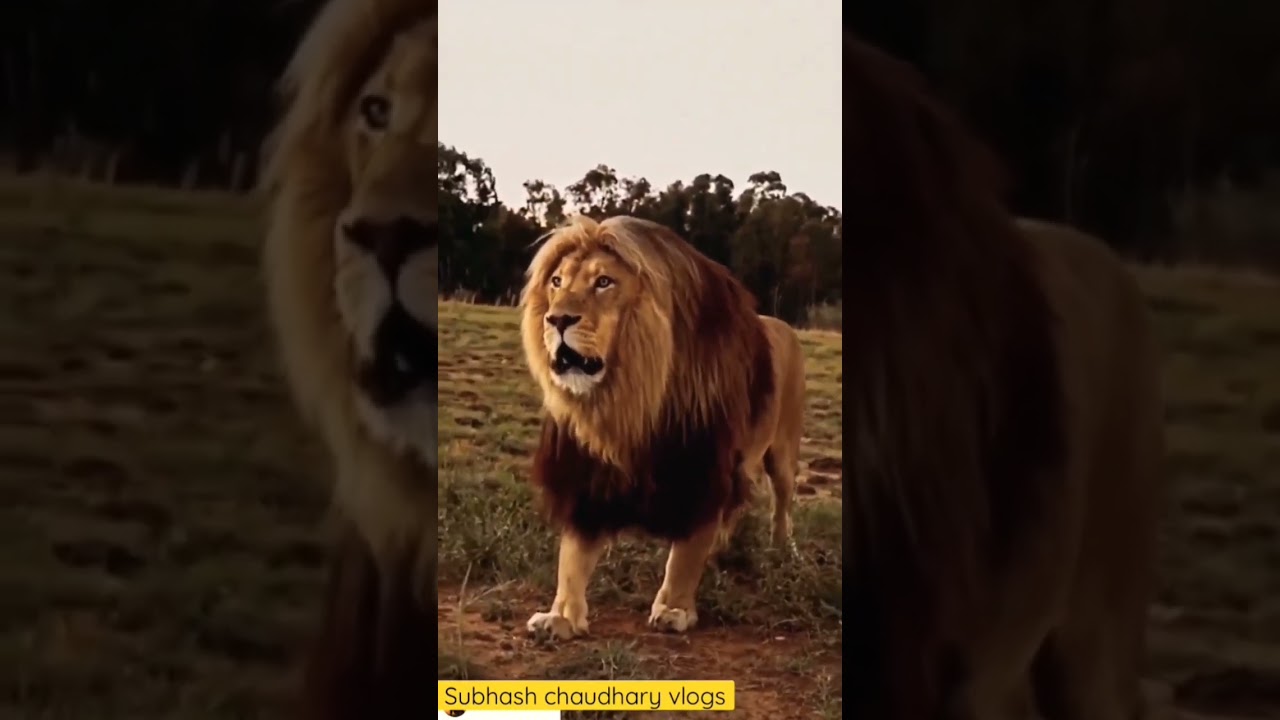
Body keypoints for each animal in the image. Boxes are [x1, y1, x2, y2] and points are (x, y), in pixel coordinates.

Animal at [517, 214, 807, 640]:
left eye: (604, 282)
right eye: (557, 281)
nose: (556, 320)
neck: (627, 402)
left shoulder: (702, 469)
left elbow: (685, 554)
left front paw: (674, 608)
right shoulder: (587, 475)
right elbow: (571, 558)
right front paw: (562, 616)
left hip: (783, 453)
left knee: (782, 504)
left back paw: (782, 549)